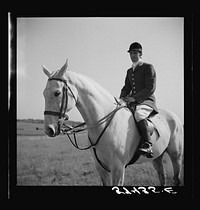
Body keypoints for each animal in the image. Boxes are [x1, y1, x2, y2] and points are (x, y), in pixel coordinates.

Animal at [43, 60, 184, 186]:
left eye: (57, 93)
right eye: (44, 94)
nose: (49, 129)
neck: (104, 123)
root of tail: (174, 116)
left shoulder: (118, 167)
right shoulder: (101, 167)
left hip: (176, 155)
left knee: (176, 178)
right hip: (157, 157)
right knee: (162, 177)